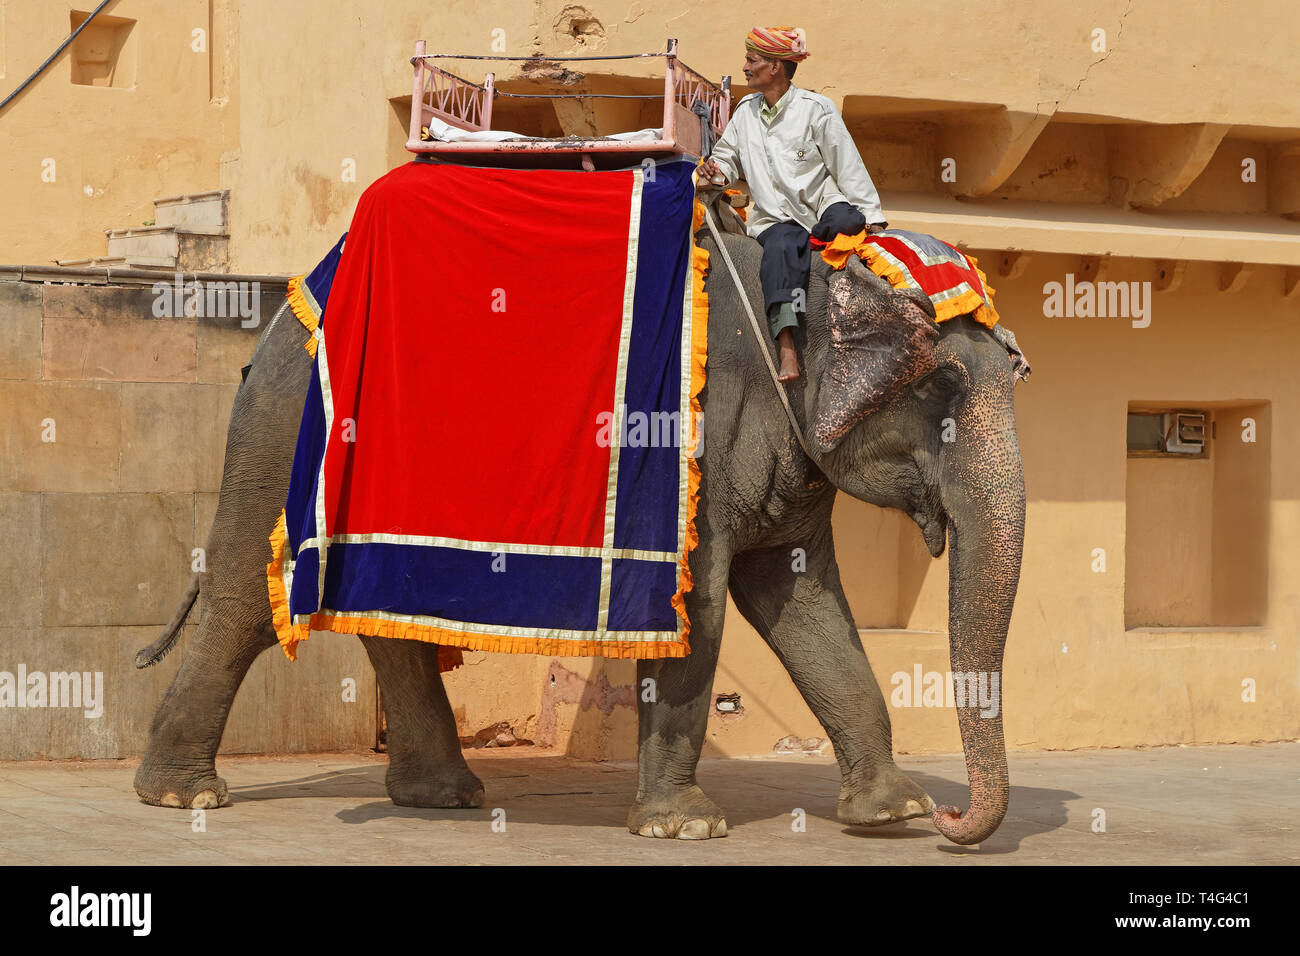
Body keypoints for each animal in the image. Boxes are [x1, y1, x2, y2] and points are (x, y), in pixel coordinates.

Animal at [133, 189, 1027, 846]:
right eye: (940, 386)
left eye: (1016, 373)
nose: (952, 817)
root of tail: (282, 315)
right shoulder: (693, 444)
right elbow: (699, 609)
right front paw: (685, 829)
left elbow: (807, 608)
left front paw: (892, 814)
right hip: (283, 430)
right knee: (248, 597)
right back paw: (184, 797)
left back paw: (442, 796)